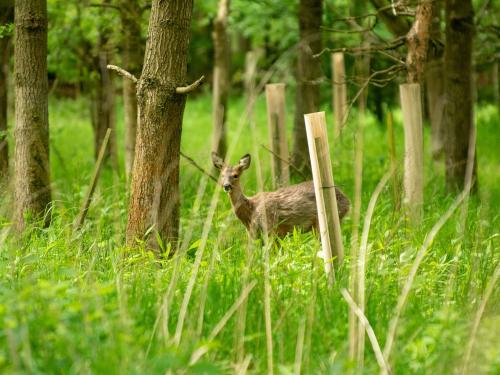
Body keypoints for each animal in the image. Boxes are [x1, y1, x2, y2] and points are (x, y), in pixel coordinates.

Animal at [213, 152, 350, 238]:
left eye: (236, 175)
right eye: (222, 175)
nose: (226, 186)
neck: (250, 211)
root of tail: (348, 201)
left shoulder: (271, 228)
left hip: (323, 221)